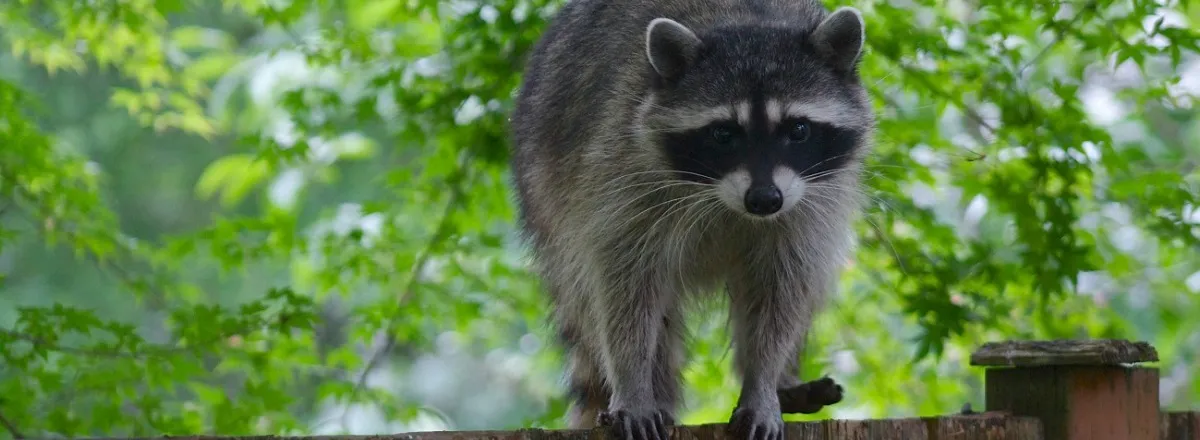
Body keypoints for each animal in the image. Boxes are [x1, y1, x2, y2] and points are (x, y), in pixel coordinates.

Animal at [508, 0, 874, 438]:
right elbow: (624, 289)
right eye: (723, 134)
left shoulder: (811, 206)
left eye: (798, 130)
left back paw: (784, 385)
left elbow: (781, 295)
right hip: (546, 189)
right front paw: (633, 381)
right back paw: (656, 393)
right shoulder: (620, 174)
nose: (764, 200)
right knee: (591, 291)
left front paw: (763, 381)